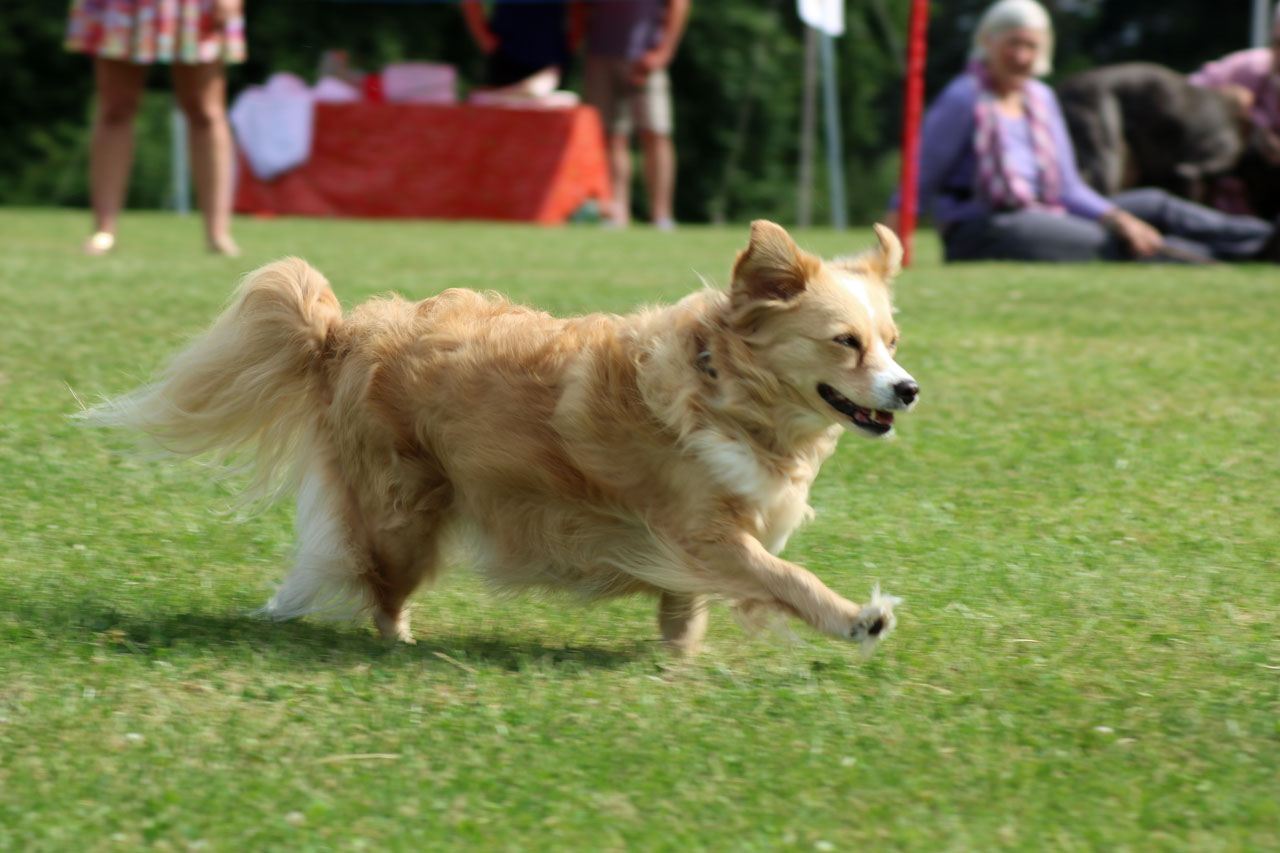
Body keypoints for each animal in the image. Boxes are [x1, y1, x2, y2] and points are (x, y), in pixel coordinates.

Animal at [82, 219, 921, 650]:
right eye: (846, 343)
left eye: (890, 339)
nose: (908, 388)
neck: (724, 389)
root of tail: (340, 332)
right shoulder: (700, 532)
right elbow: (784, 577)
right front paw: (857, 617)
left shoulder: (694, 545)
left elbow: (689, 606)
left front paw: (678, 658)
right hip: (406, 514)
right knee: (378, 584)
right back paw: (399, 641)